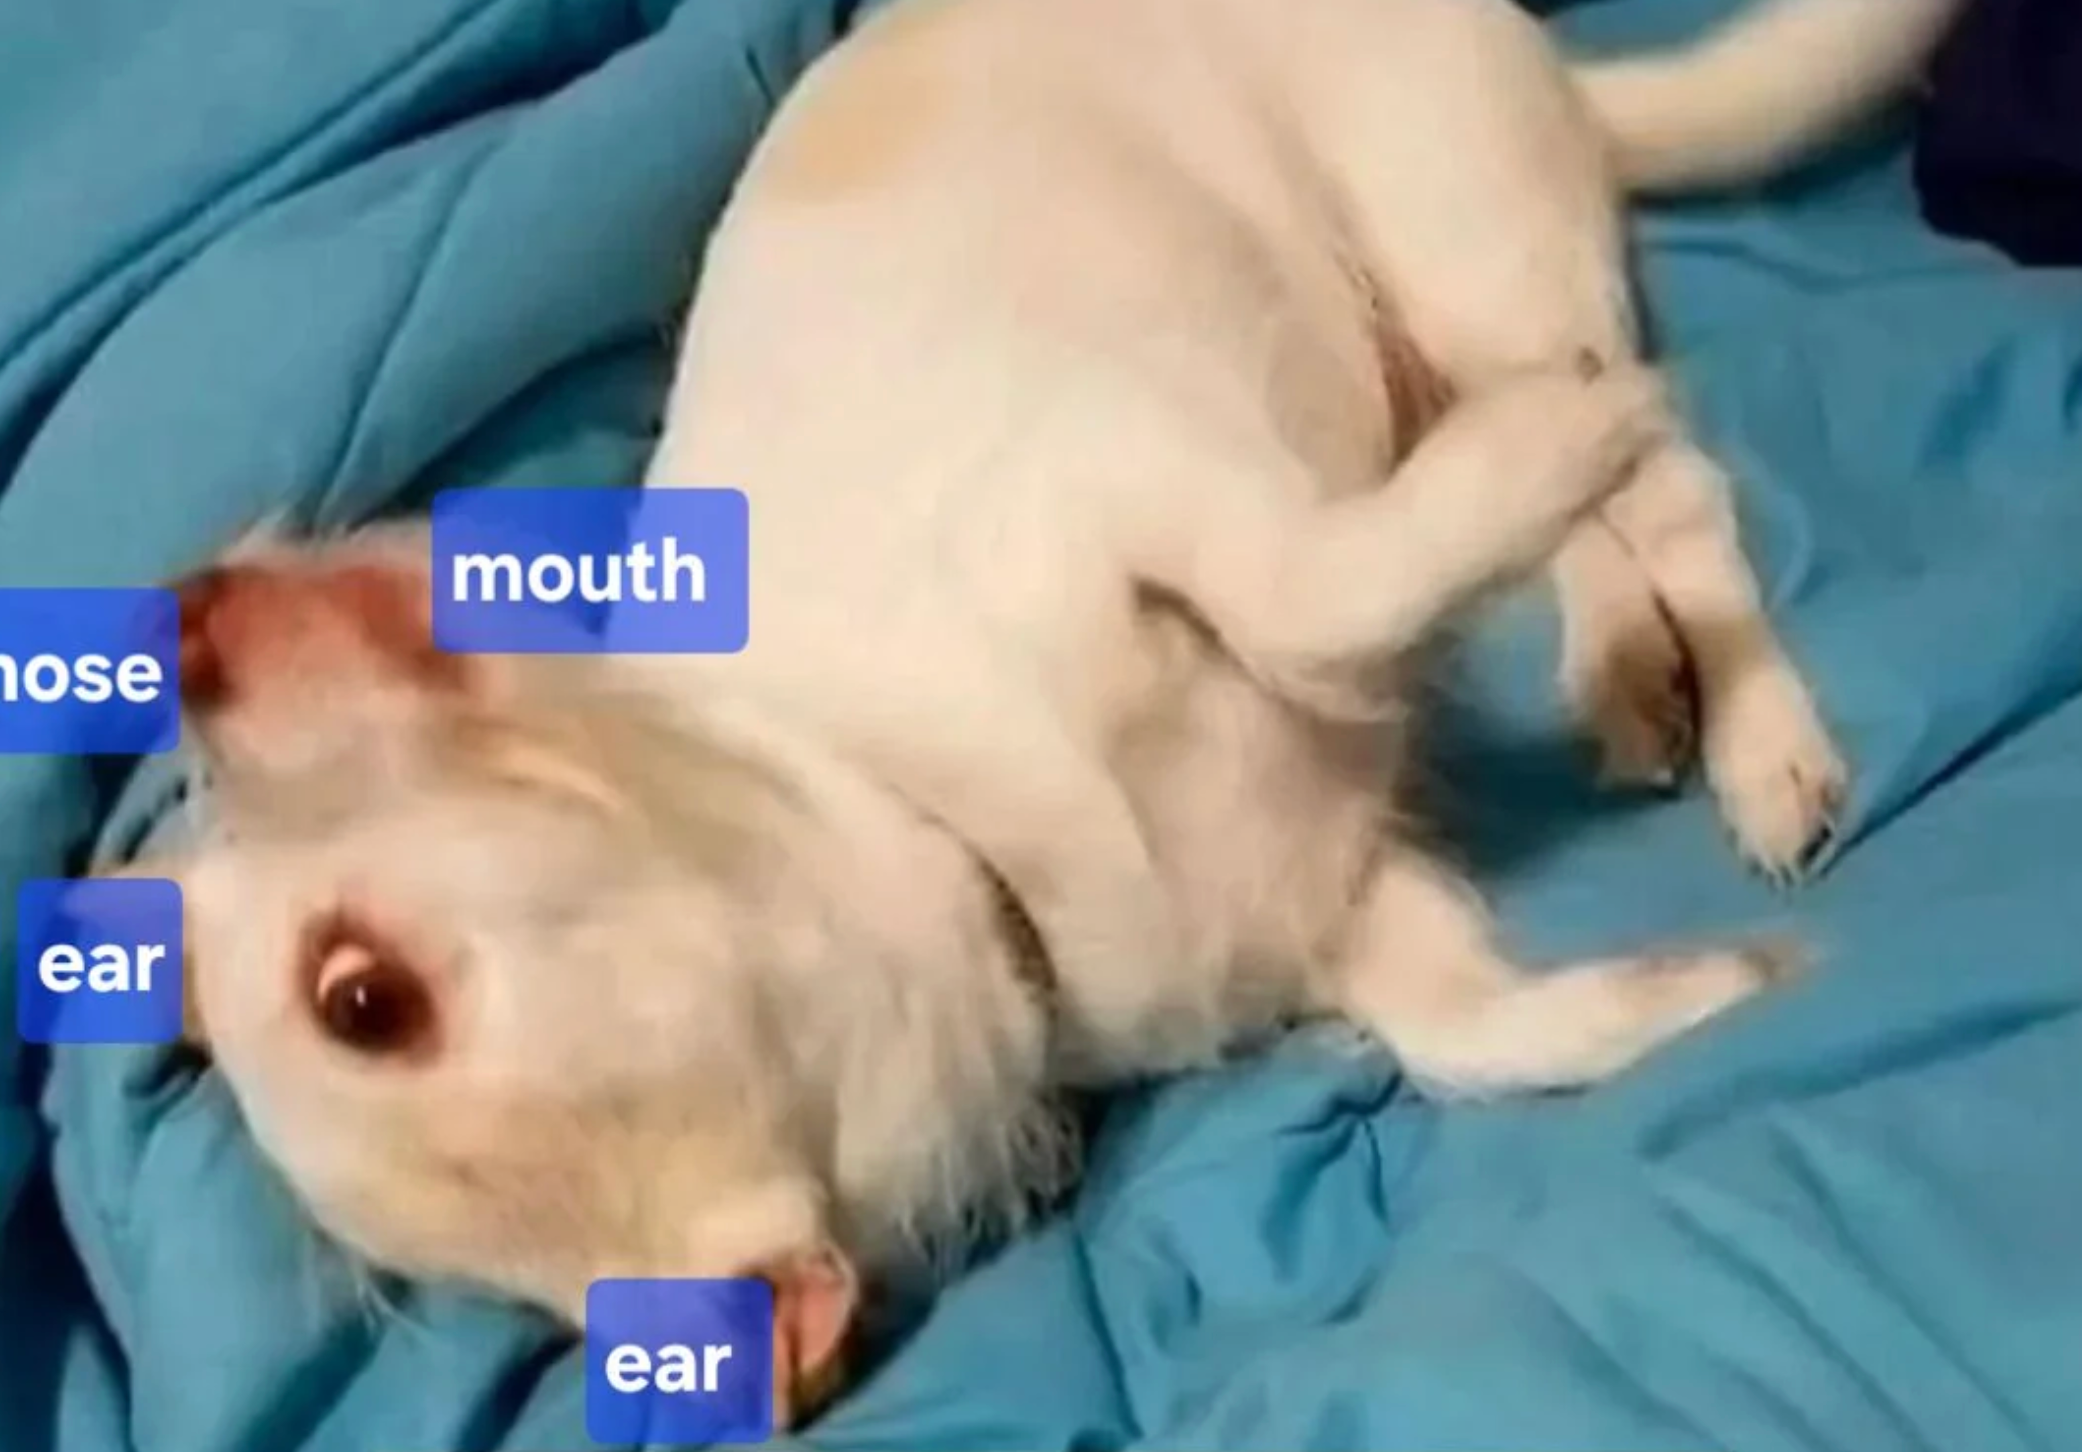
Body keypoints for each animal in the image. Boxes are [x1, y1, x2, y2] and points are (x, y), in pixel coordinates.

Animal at [140, 0, 1962, 1425]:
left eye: (356, 997)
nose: (190, 618)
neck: (961, 848)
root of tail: (1548, 65)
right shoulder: (1347, 905)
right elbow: (1474, 1033)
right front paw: (1700, 992)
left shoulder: (1152, 478)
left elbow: (1320, 599)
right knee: (1590, 524)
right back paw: (1621, 666)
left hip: (1457, 236)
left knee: (1669, 491)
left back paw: (1753, 726)